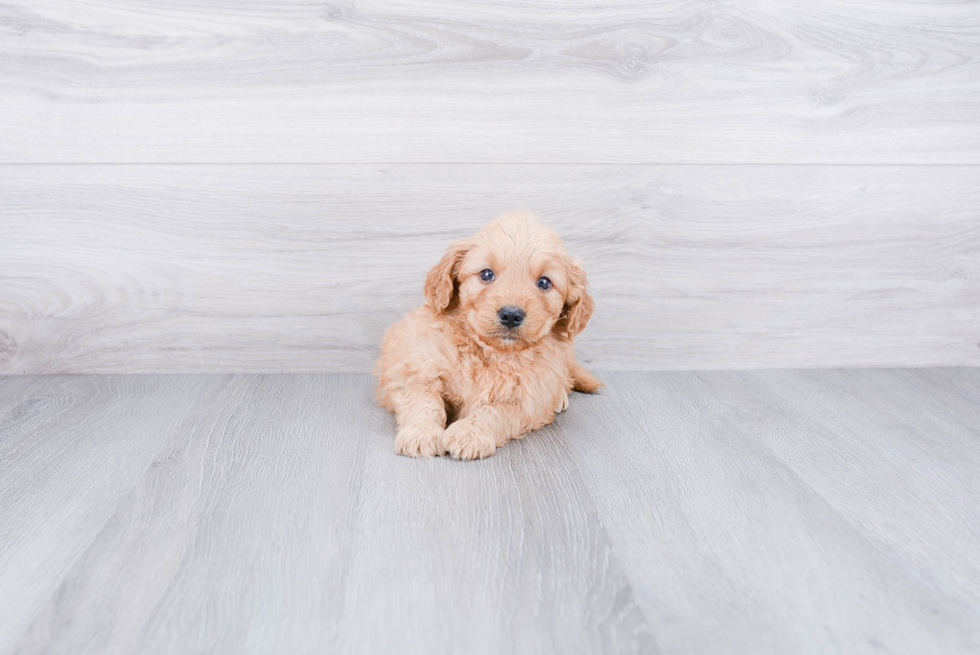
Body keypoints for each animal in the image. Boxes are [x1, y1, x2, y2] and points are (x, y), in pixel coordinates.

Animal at [376, 210, 600, 462]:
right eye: (486, 274)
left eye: (544, 282)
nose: (511, 315)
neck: (489, 352)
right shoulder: (415, 365)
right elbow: (424, 399)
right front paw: (421, 432)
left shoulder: (526, 400)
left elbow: (494, 412)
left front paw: (469, 433)